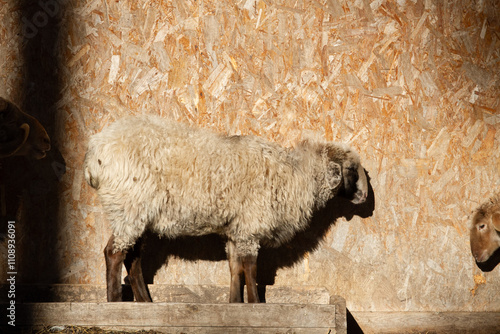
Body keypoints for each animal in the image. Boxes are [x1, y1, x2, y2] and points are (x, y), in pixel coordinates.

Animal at [84, 115, 370, 302]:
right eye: (352, 170)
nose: (365, 197)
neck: (295, 176)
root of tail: (95, 151)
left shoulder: (238, 231)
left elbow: (235, 270)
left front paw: (235, 305)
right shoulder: (251, 226)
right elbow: (251, 270)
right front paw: (255, 306)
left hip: (136, 214)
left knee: (132, 258)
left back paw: (144, 302)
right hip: (128, 207)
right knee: (113, 253)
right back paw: (114, 304)